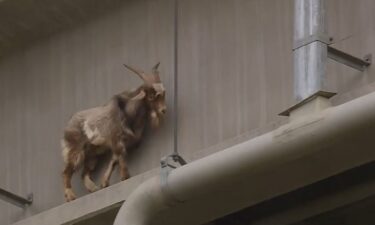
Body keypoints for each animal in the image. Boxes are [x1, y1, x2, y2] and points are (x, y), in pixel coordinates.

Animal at [62, 63, 167, 202]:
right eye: (151, 96)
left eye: (164, 93)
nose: (163, 110)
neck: (128, 113)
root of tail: (68, 125)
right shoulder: (116, 139)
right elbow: (120, 156)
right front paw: (125, 176)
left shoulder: (121, 142)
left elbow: (114, 160)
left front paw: (104, 183)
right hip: (75, 149)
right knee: (67, 171)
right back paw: (70, 196)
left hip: (93, 154)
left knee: (84, 173)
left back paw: (93, 188)